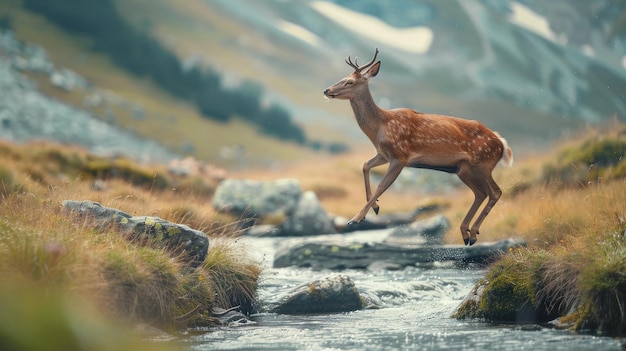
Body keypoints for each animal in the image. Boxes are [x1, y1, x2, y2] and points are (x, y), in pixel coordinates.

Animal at [322, 48, 512, 246]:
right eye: (344, 77)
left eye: (349, 81)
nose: (326, 90)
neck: (380, 127)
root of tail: (502, 143)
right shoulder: (384, 154)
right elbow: (365, 165)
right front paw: (375, 206)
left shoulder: (401, 155)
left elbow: (382, 184)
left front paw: (356, 218)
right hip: (464, 169)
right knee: (480, 193)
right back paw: (466, 233)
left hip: (483, 164)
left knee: (495, 192)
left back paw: (473, 233)